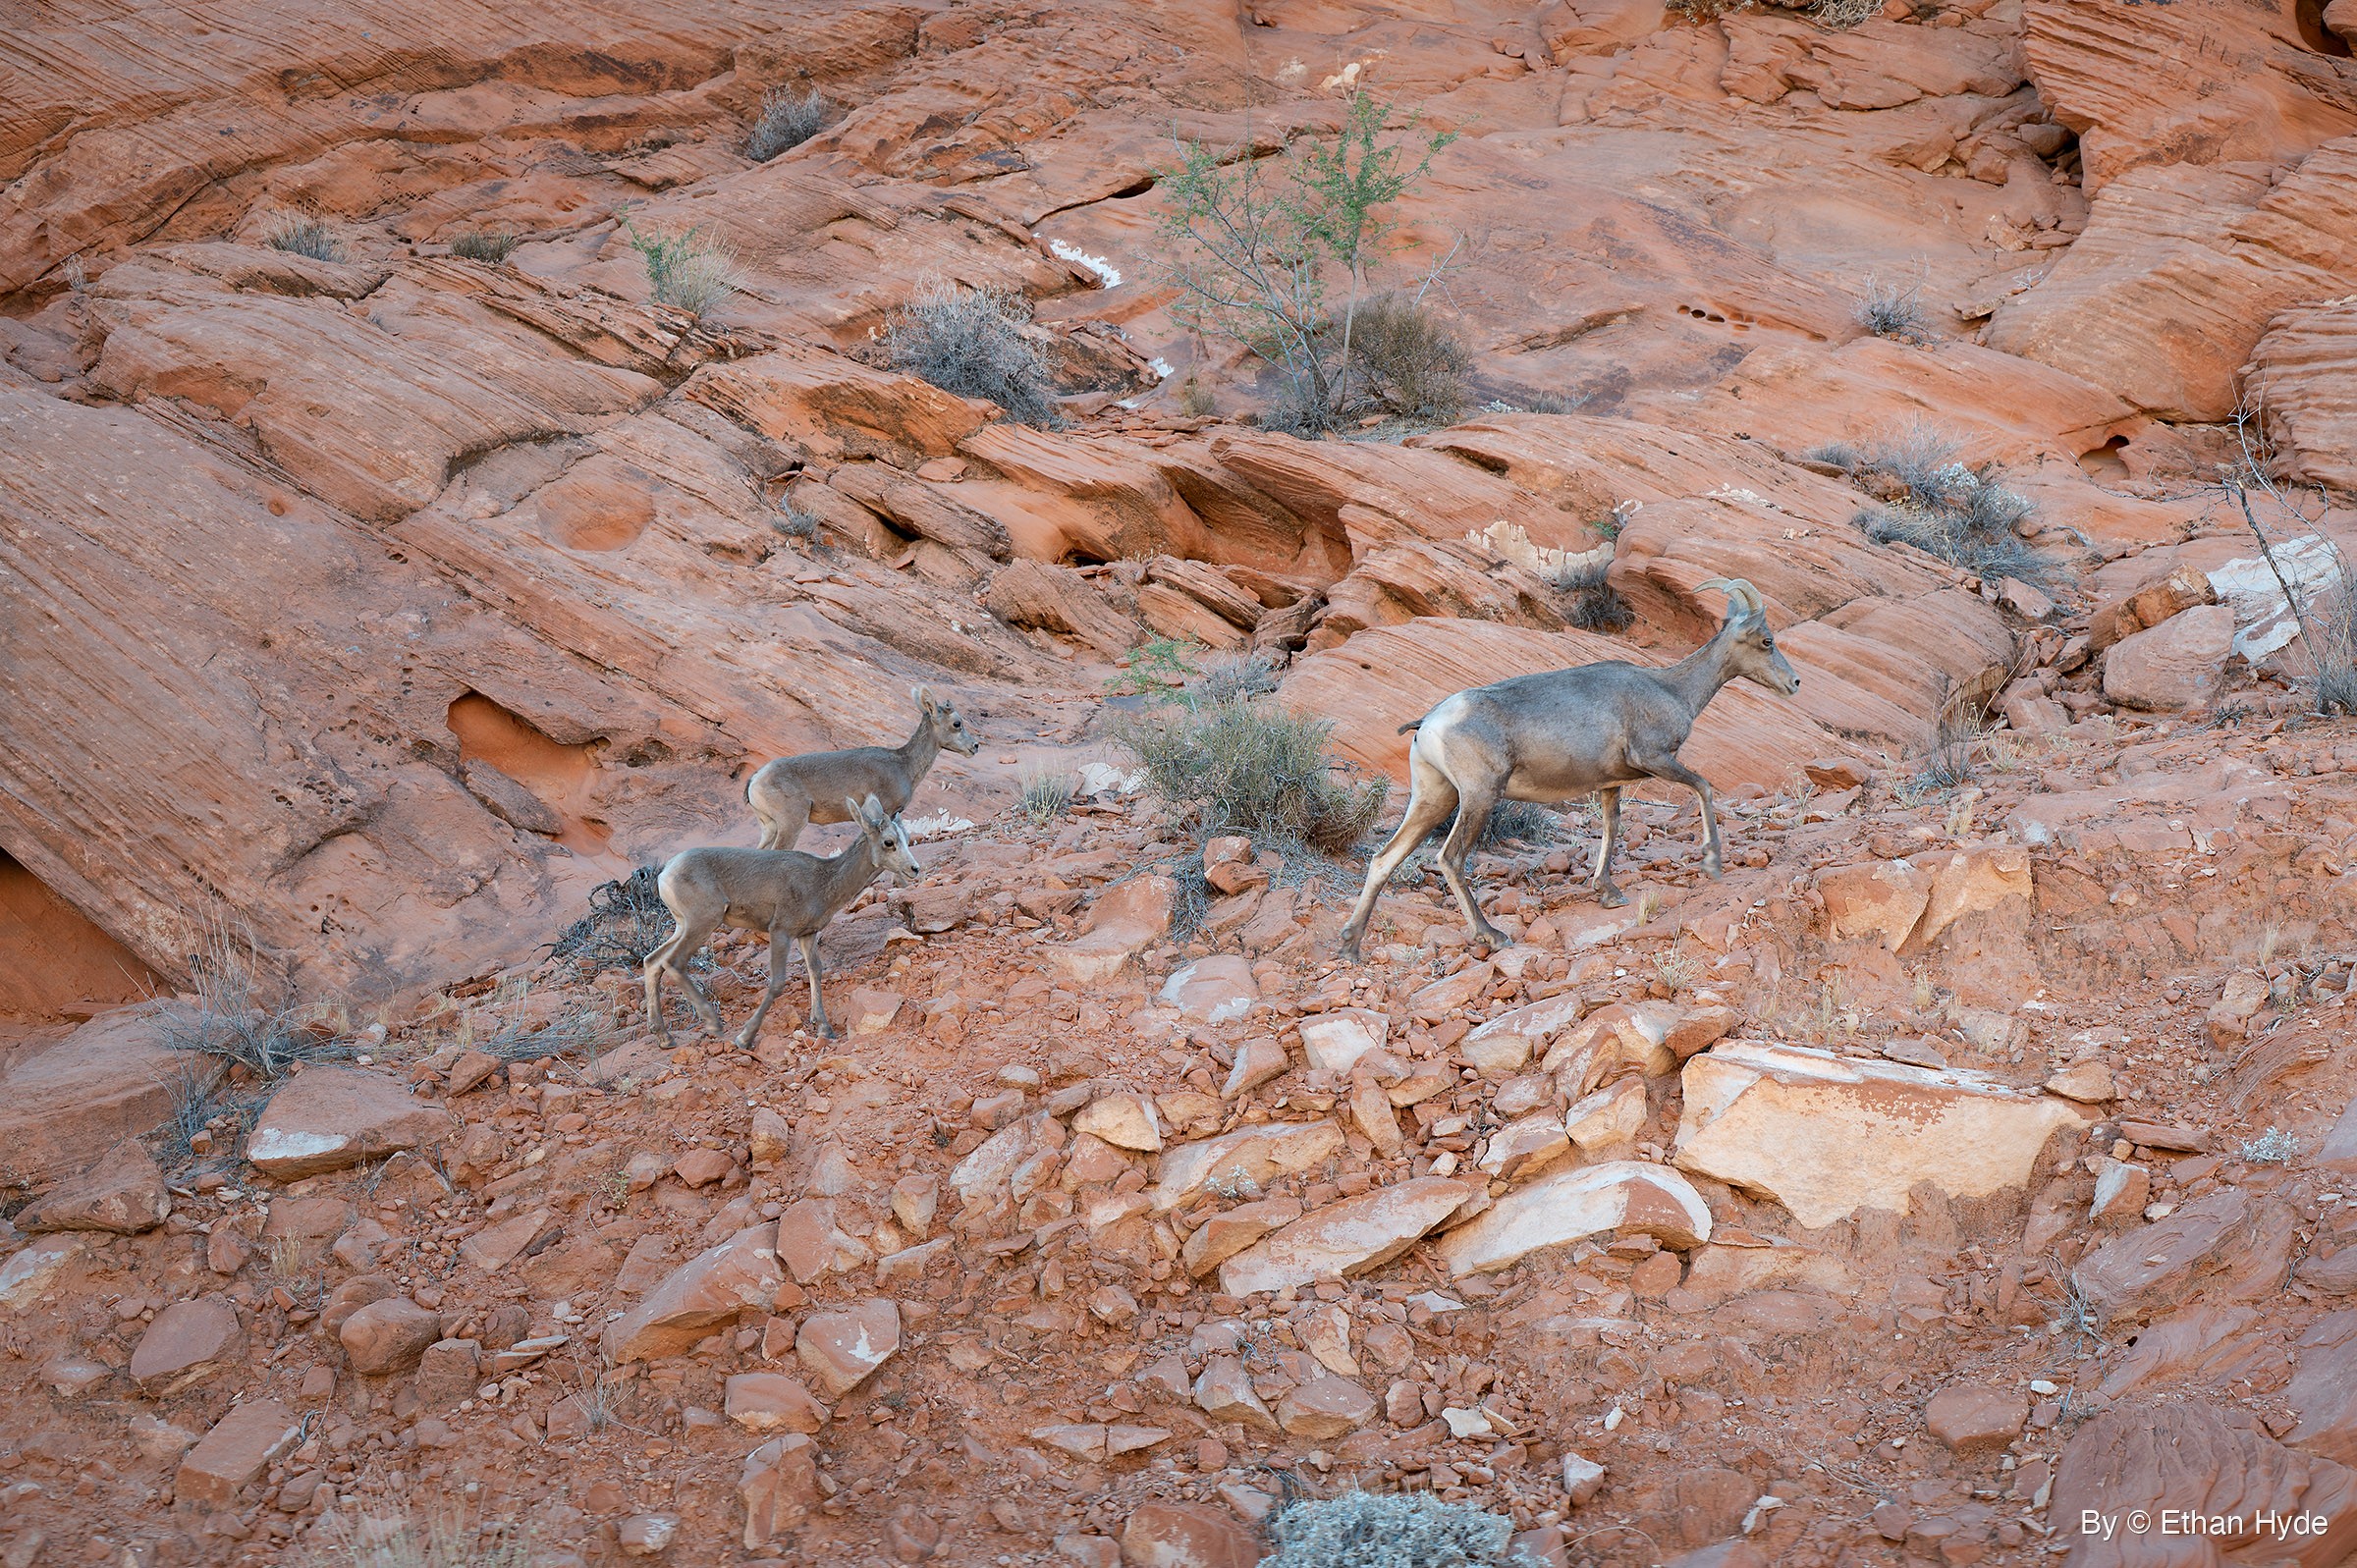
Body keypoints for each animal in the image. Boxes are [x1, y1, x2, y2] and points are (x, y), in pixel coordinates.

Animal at [643, 793, 919, 1045]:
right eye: (889, 842)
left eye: (906, 839)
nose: (914, 869)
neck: (823, 882)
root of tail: (666, 873)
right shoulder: (781, 931)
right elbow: (777, 983)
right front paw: (745, 1037)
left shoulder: (807, 935)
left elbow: (815, 971)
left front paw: (824, 1029)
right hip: (703, 922)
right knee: (674, 962)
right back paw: (713, 1023)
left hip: (683, 926)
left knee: (653, 962)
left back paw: (665, 1037)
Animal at [746, 686, 978, 851]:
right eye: (957, 723)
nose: (975, 746)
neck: (904, 765)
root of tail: (755, 781)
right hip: (791, 824)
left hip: (769, 827)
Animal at [1337, 579, 1799, 960]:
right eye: (1766, 640)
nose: (1794, 683)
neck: (1672, 689)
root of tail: (1431, 722)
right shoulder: (1654, 759)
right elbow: (1703, 787)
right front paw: (1713, 864)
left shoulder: (1610, 784)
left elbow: (1612, 827)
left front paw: (1607, 893)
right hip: (1479, 796)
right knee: (1450, 859)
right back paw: (1492, 936)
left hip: (1435, 797)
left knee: (1384, 859)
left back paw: (1350, 946)